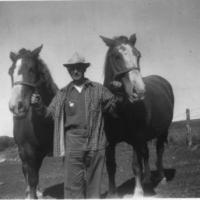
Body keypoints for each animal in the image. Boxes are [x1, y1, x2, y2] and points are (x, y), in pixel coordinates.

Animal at [8, 45, 57, 198]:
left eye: (31, 69)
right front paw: (31, 194)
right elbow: (32, 178)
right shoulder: (28, 150)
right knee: (26, 171)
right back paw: (28, 191)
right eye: (10, 72)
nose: (16, 106)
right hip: (23, 152)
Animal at [101, 34, 174, 197]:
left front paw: (138, 192)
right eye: (116, 56)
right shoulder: (110, 143)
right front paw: (112, 193)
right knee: (146, 154)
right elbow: (110, 166)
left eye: (138, 55)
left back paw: (161, 177)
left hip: (162, 131)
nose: (139, 91)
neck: (119, 111)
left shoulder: (136, 140)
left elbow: (135, 165)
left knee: (159, 151)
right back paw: (147, 178)